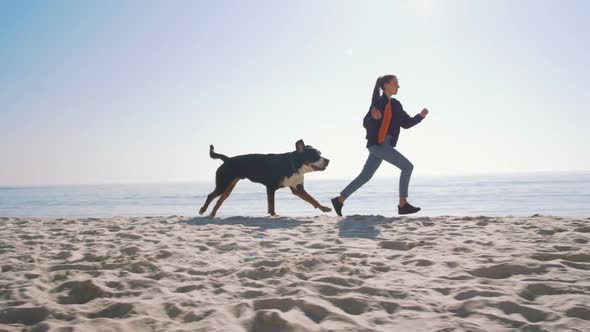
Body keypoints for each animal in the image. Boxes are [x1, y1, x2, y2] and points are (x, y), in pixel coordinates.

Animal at [200, 140, 332, 218]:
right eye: (315, 156)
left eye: (320, 153)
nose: (328, 160)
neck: (293, 165)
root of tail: (227, 159)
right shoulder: (271, 187)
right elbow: (271, 204)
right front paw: (274, 215)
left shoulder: (298, 189)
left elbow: (312, 199)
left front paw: (324, 208)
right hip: (223, 184)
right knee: (211, 196)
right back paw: (203, 210)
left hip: (229, 186)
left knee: (220, 200)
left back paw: (212, 214)